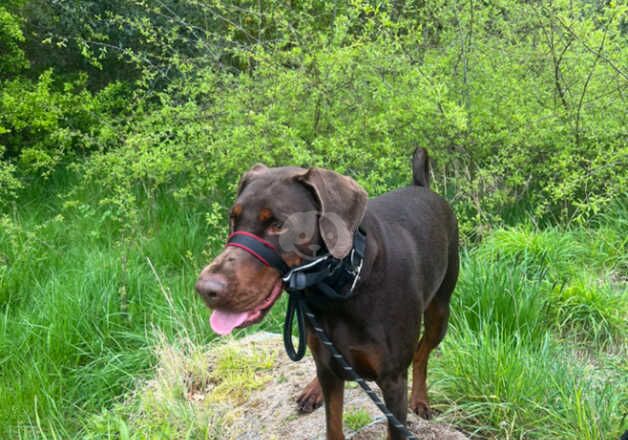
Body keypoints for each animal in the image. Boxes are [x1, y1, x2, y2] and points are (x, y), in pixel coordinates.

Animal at [197, 149, 462, 440]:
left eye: (278, 224)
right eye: (233, 219)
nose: (205, 289)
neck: (343, 287)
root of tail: (421, 186)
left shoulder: (392, 381)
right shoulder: (330, 365)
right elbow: (332, 424)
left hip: (440, 311)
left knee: (422, 350)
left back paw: (420, 399)